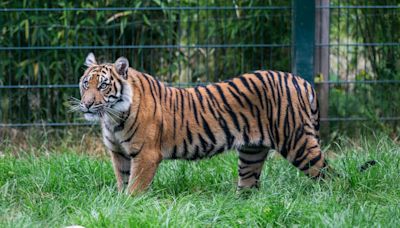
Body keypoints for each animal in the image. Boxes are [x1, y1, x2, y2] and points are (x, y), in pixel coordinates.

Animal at [74, 53, 376, 194]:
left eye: (103, 86)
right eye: (85, 84)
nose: (87, 104)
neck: (112, 117)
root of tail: (303, 81)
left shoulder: (146, 155)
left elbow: (135, 187)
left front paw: (129, 206)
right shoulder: (119, 154)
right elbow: (122, 181)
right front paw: (118, 204)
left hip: (298, 142)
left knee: (329, 176)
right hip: (252, 151)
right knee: (250, 186)